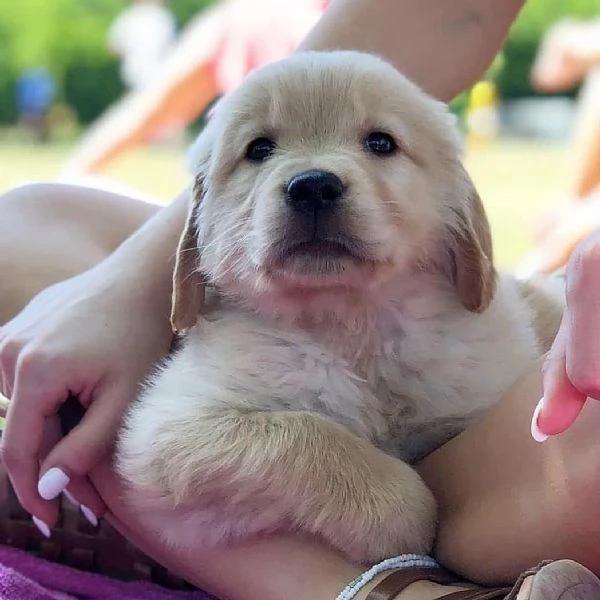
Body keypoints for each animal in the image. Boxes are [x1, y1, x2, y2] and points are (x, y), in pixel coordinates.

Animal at [115, 50, 564, 564]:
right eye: (259, 149)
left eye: (381, 143)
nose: (312, 186)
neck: (351, 323)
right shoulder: (167, 433)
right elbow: (304, 434)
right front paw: (404, 515)